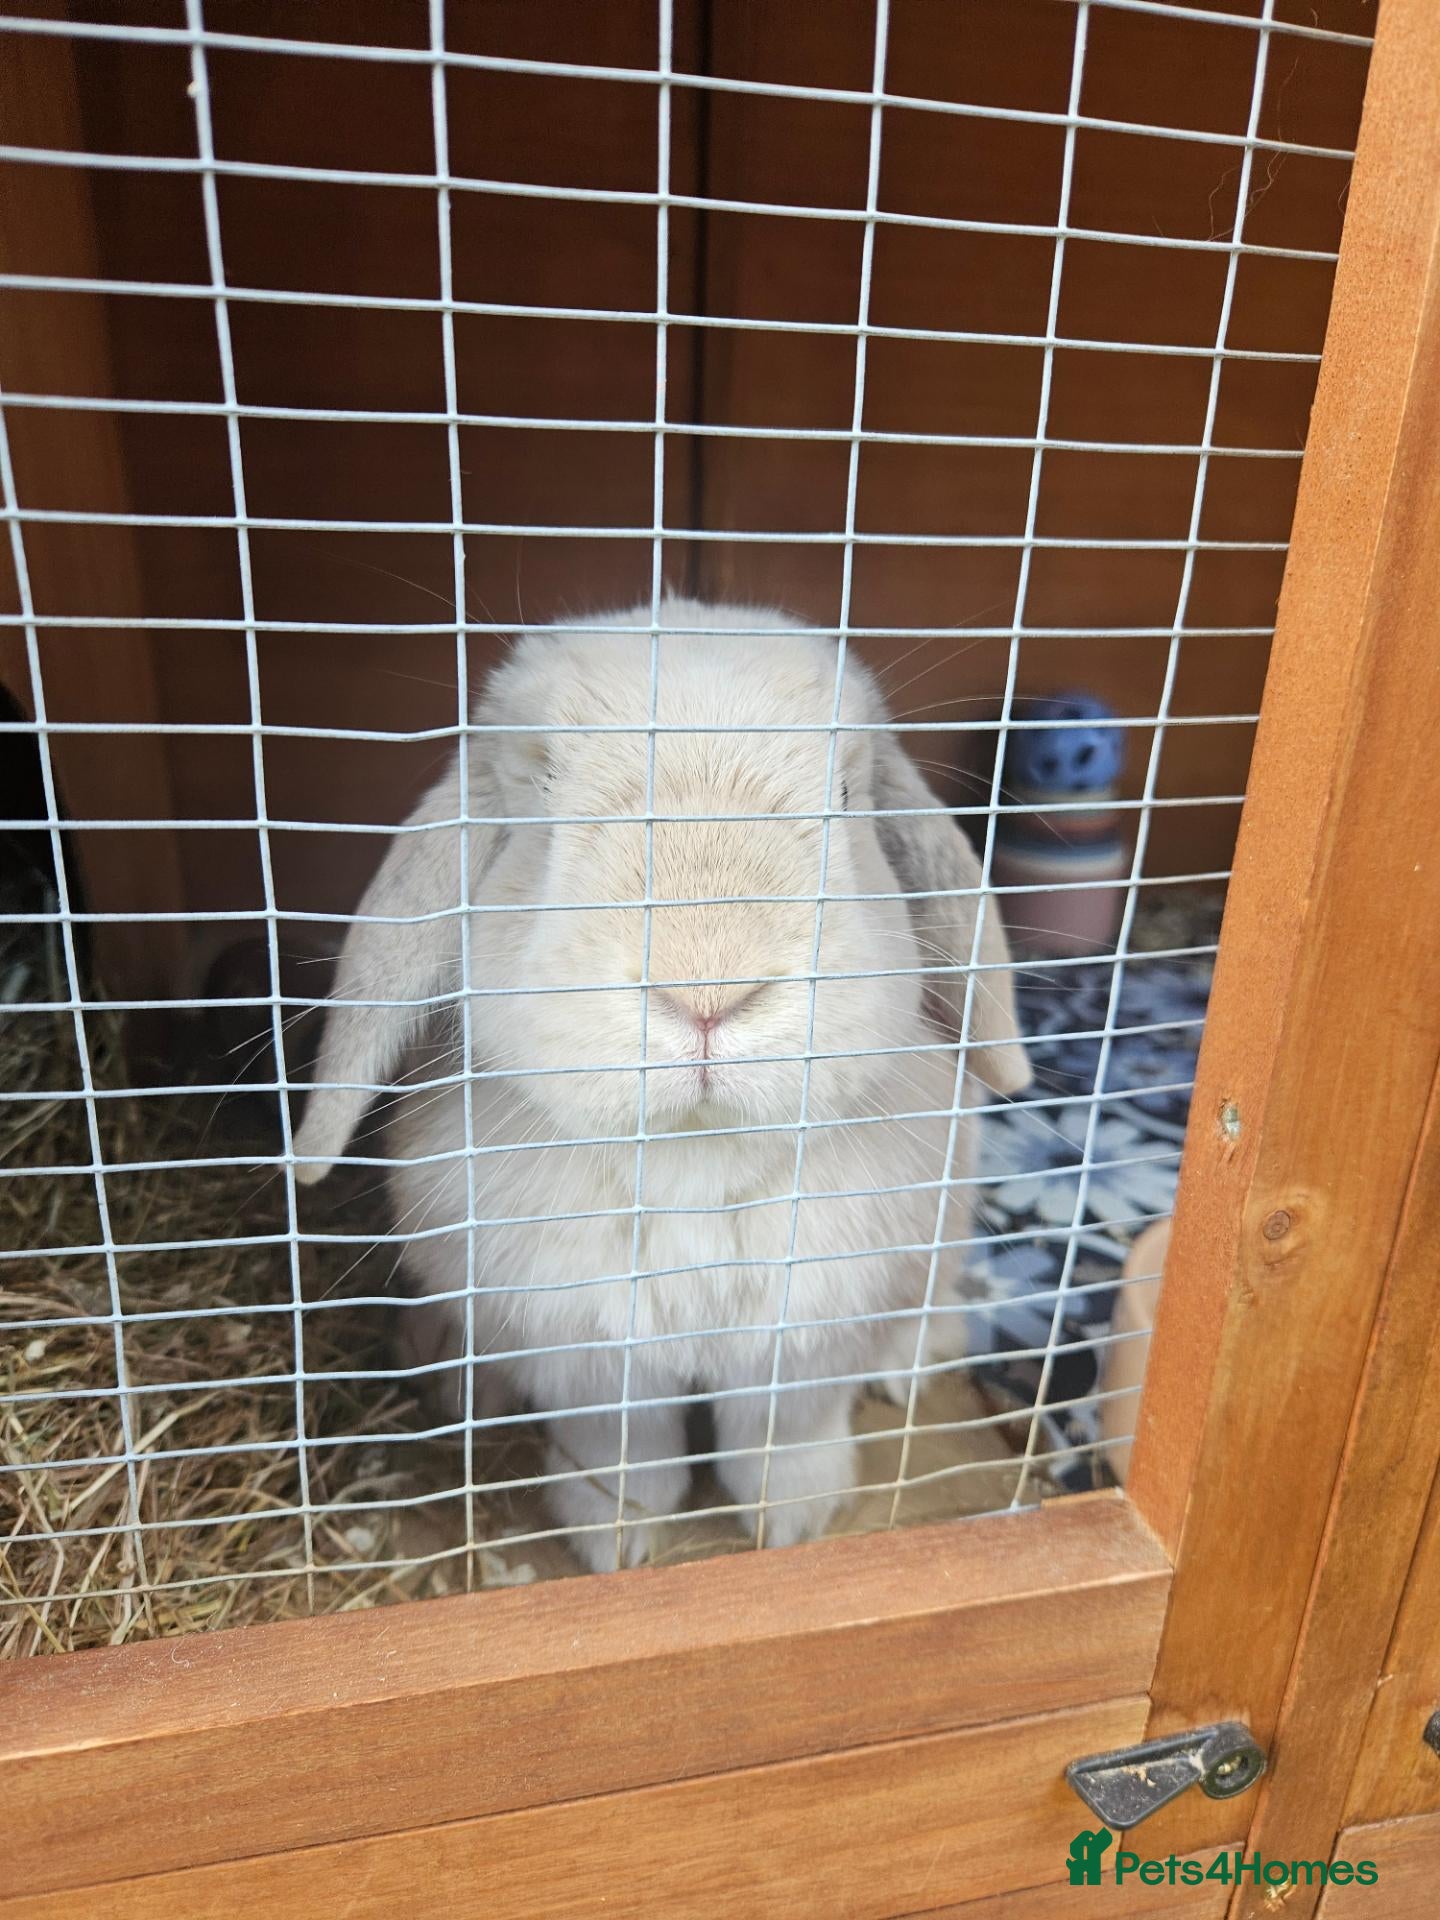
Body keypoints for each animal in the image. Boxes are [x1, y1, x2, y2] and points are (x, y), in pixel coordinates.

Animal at [294, 598, 1029, 1573]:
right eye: (540, 790)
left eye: (846, 795)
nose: (708, 993)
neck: (694, 1160)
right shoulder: (590, 1354)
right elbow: (622, 1449)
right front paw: (616, 1538)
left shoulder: (809, 1334)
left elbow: (783, 1435)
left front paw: (794, 1521)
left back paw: (917, 1357)